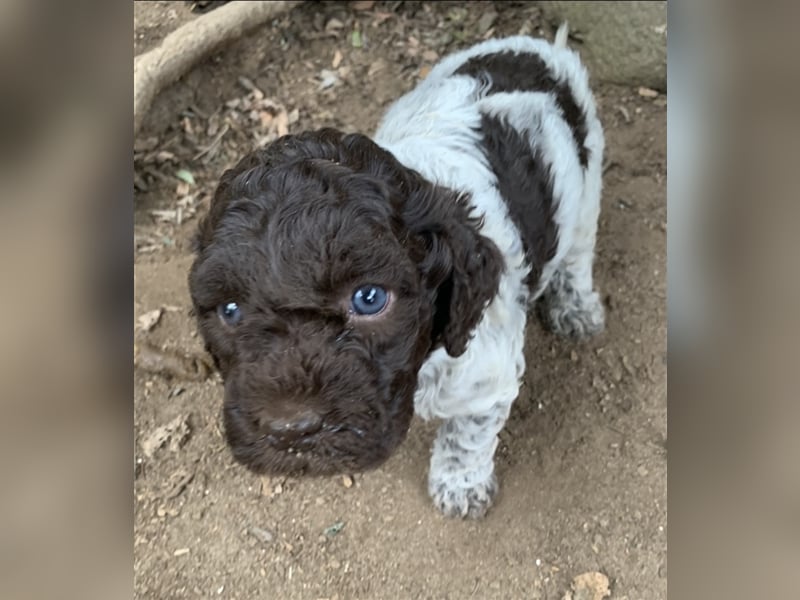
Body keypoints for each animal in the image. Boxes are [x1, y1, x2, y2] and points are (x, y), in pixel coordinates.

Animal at [191, 25, 604, 516]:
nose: (290, 430)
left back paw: (576, 307)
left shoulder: (487, 376)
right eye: (230, 310)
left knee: (578, 251)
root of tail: (535, 47)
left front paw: (460, 485)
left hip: (588, 181)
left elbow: (468, 433)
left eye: (369, 298)